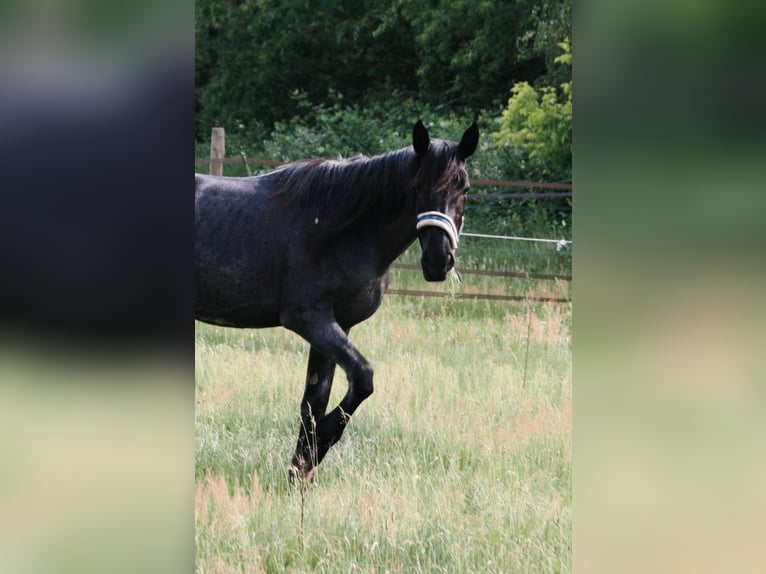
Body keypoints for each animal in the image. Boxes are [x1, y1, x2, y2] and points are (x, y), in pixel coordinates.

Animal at [195, 120, 479, 481]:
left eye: (465, 189)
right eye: (418, 187)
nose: (438, 261)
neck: (339, 229)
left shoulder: (338, 324)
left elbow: (313, 402)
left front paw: (300, 471)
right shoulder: (309, 319)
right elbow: (362, 379)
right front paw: (319, 446)